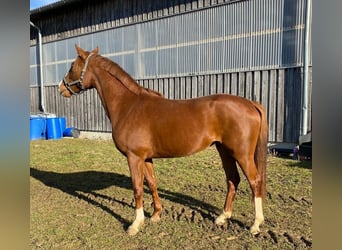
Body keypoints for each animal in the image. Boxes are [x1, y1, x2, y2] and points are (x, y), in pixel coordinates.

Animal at [58, 45, 268, 236]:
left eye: (72, 66)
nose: (61, 88)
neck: (129, 105)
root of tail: (251, 104)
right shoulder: (146, 158)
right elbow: (151, 183)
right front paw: (156, 215)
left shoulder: (134, 157)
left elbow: (137, 188)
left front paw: (135, 224)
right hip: (224, 151)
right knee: (233, 179)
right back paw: (223, 217)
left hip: (241, 154)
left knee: (254, 181)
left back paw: (255, 224)